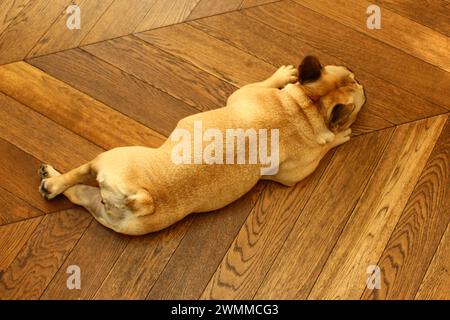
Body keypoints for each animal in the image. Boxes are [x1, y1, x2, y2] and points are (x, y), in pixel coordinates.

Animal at [39, 55, 366, 235]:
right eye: (352, 76)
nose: (362, 82)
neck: (304, 107)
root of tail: (139, 198)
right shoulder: (251, 94)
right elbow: (268, 83)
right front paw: (284, 76)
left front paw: (336, 137)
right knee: (76, 178)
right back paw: (52, 180)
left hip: (109, 196)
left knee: (77, 189)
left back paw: (53, 183)